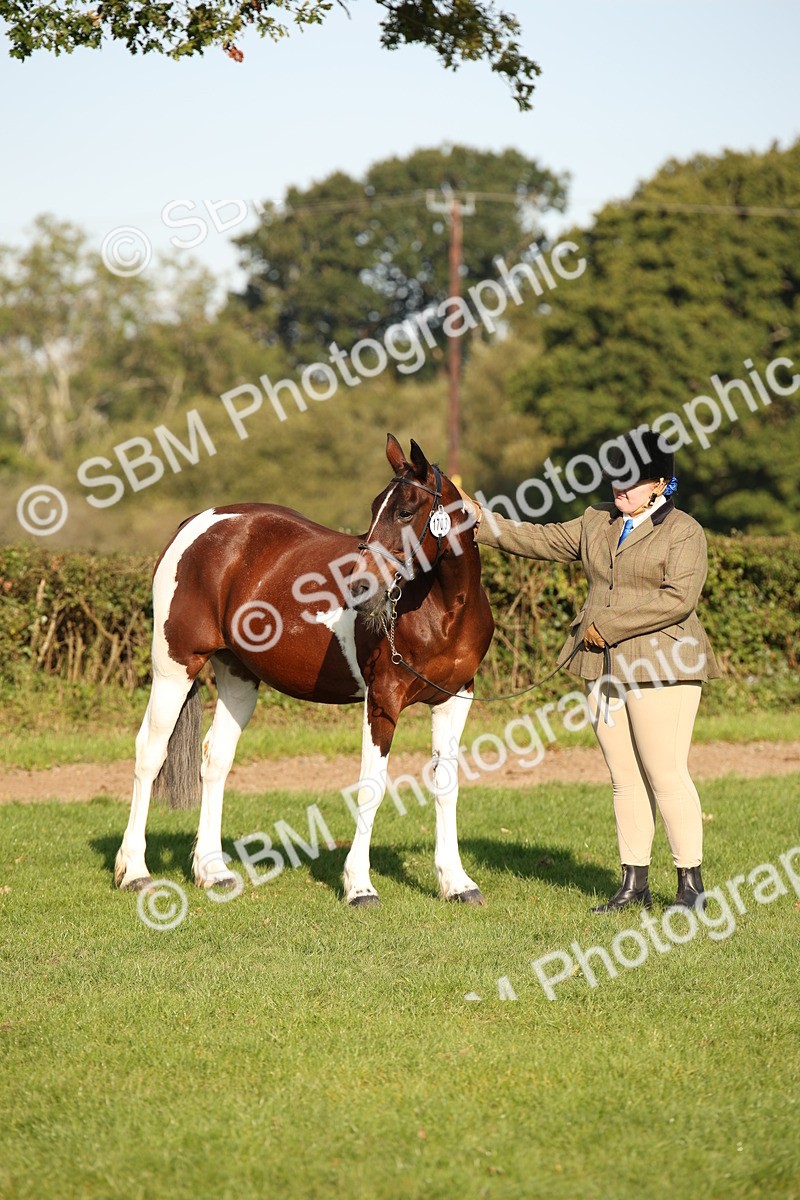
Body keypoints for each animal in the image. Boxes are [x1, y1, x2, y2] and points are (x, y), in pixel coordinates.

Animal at [114, 433, 495, 907]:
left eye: (406, 511)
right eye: (375, 507)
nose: (359, 587)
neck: (442, 609)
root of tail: (195, 524)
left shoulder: (454, 698)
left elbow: (446, 784)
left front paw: (457, 882)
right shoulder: (382, 699)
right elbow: (372, 785)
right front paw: (359, 886)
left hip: (238, 677)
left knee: (214, 759)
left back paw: (213, 871)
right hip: (174, 667)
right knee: (150, 753)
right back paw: (135, 871)